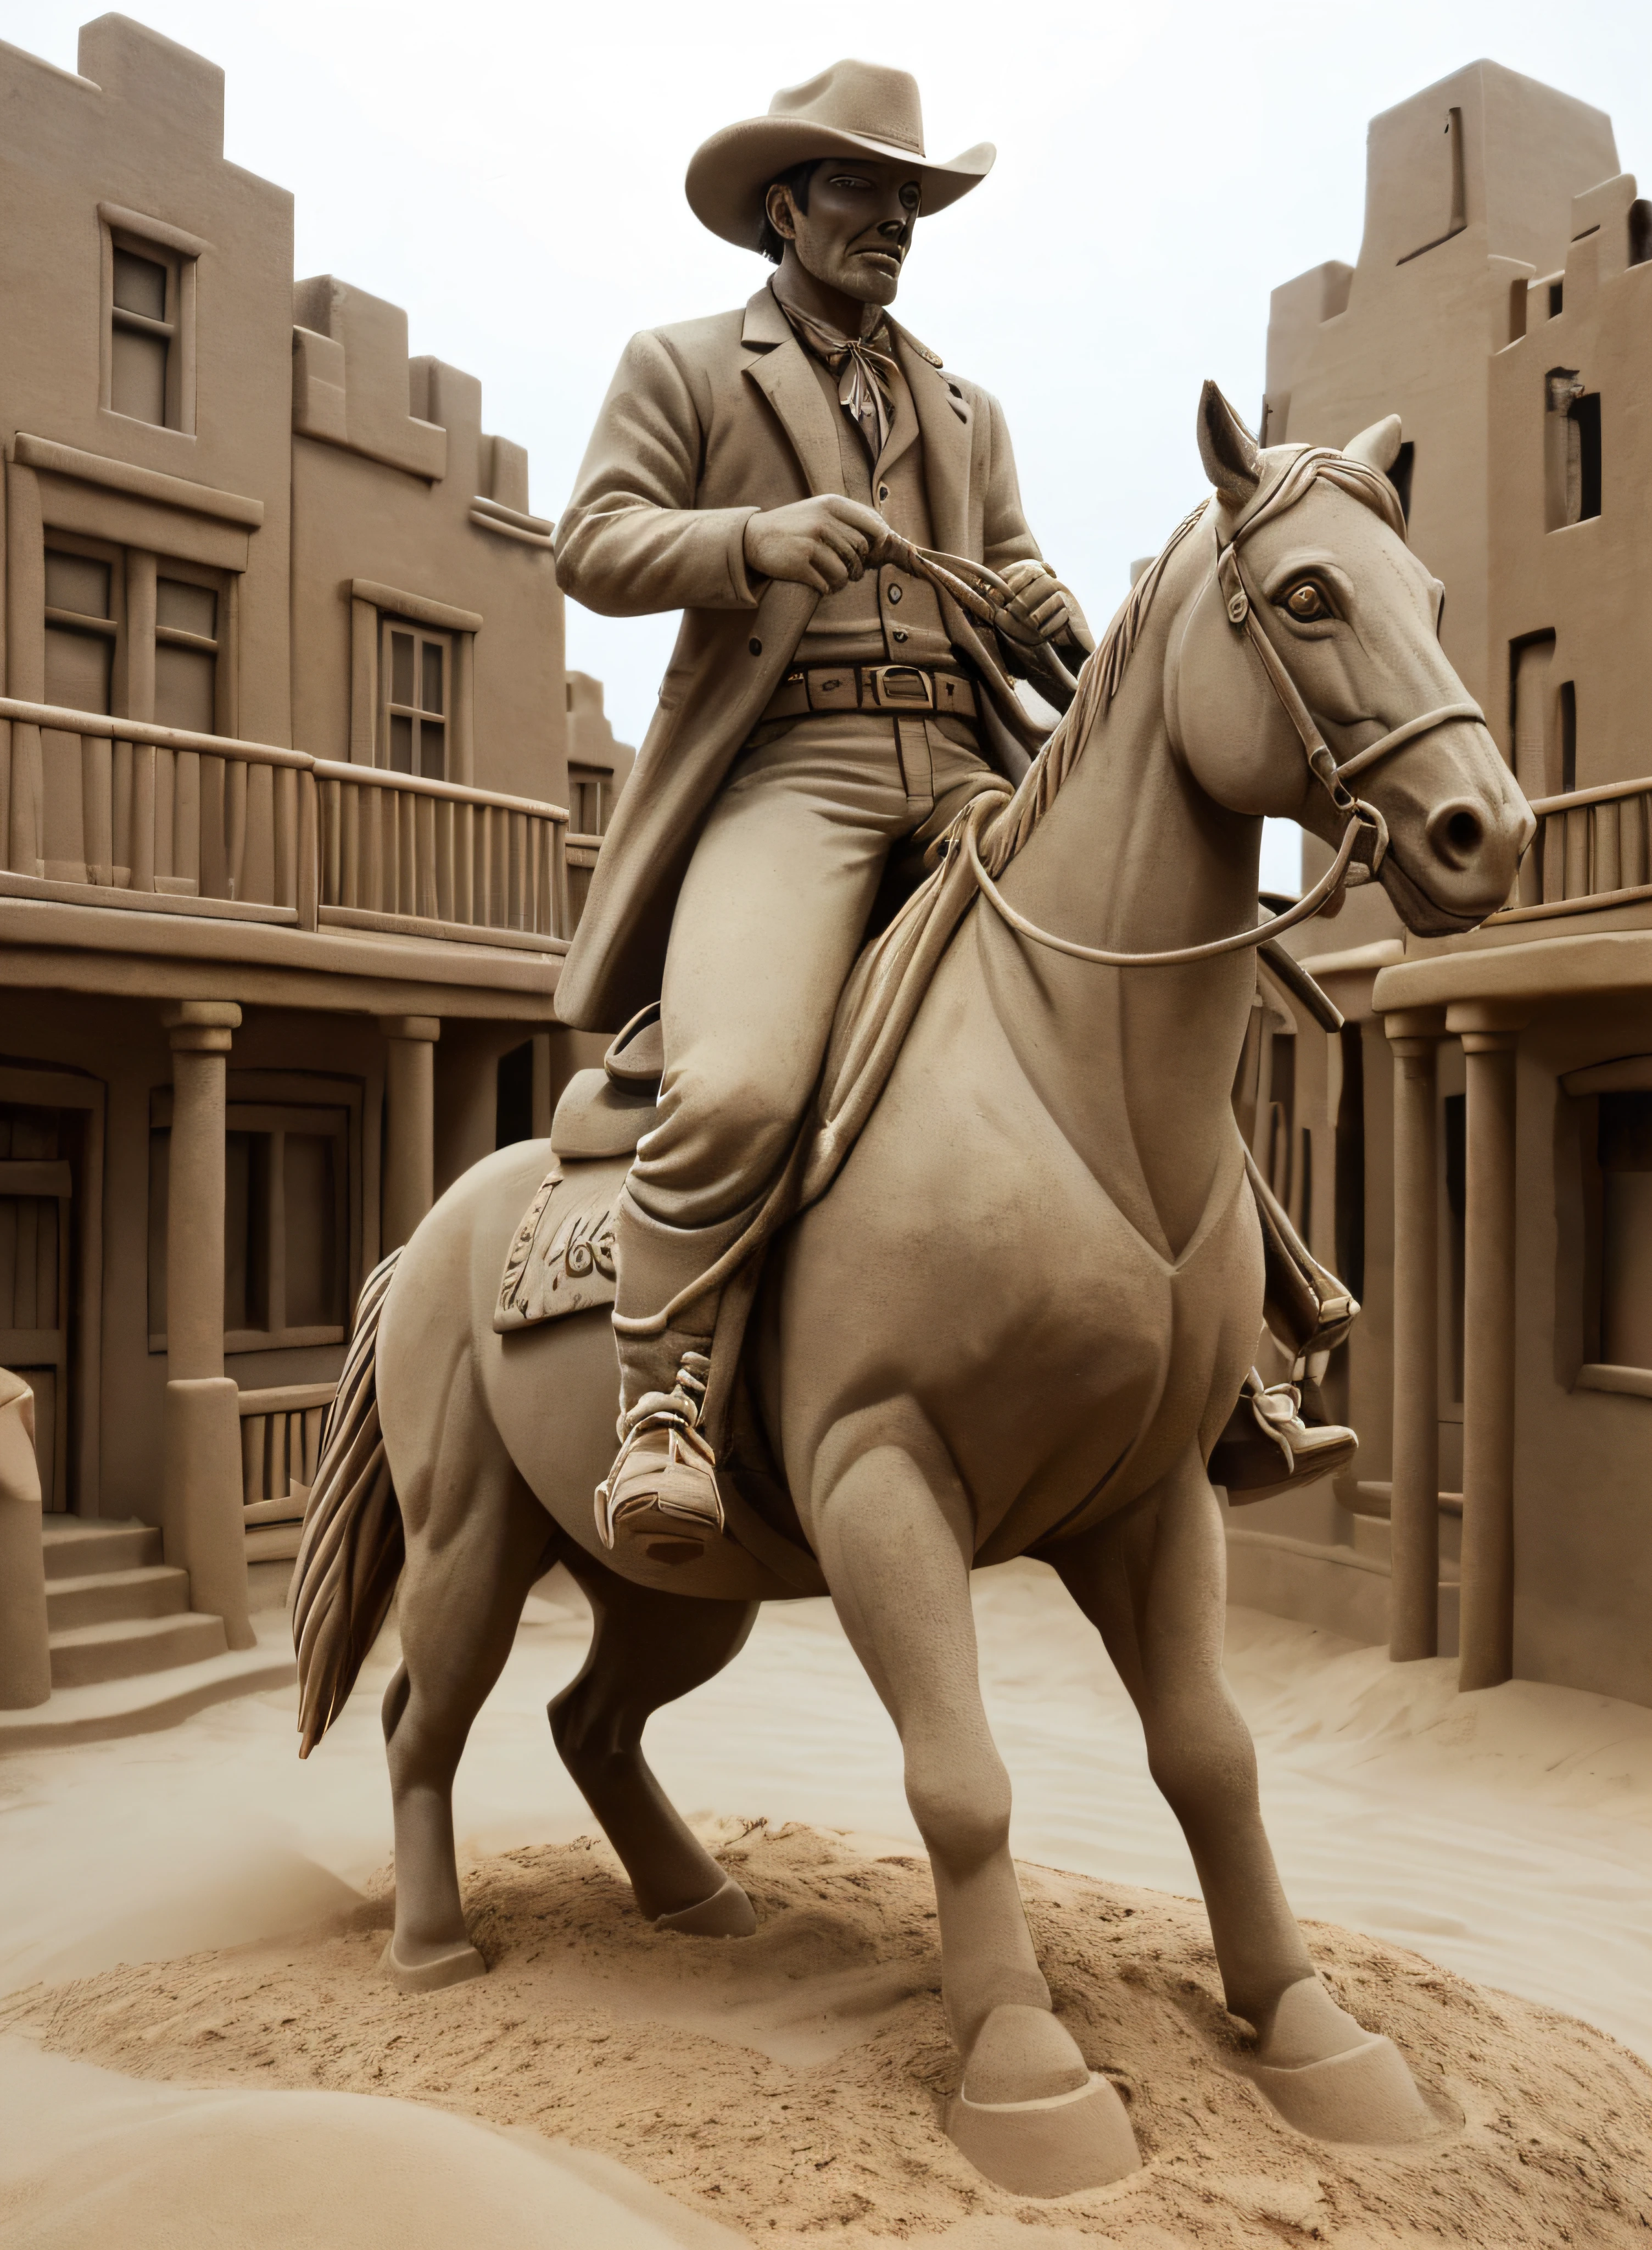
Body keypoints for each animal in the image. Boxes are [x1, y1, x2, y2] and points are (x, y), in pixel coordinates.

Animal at [290, 391, 1530, 2196]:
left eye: (1432, 597)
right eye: (1306, 597)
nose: (1484, 835)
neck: (1072, 1088)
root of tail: (429, 1232)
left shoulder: (1156, 1501)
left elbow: (1210, 1758)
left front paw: (1312, 2037)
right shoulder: (885, 1483)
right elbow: (960, 1781)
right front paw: (1026, 2080)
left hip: (681, 1586)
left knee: (593, 1718)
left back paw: (700, 1903)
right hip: (472, 1545)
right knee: (418, 1716)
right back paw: (434, 1948)